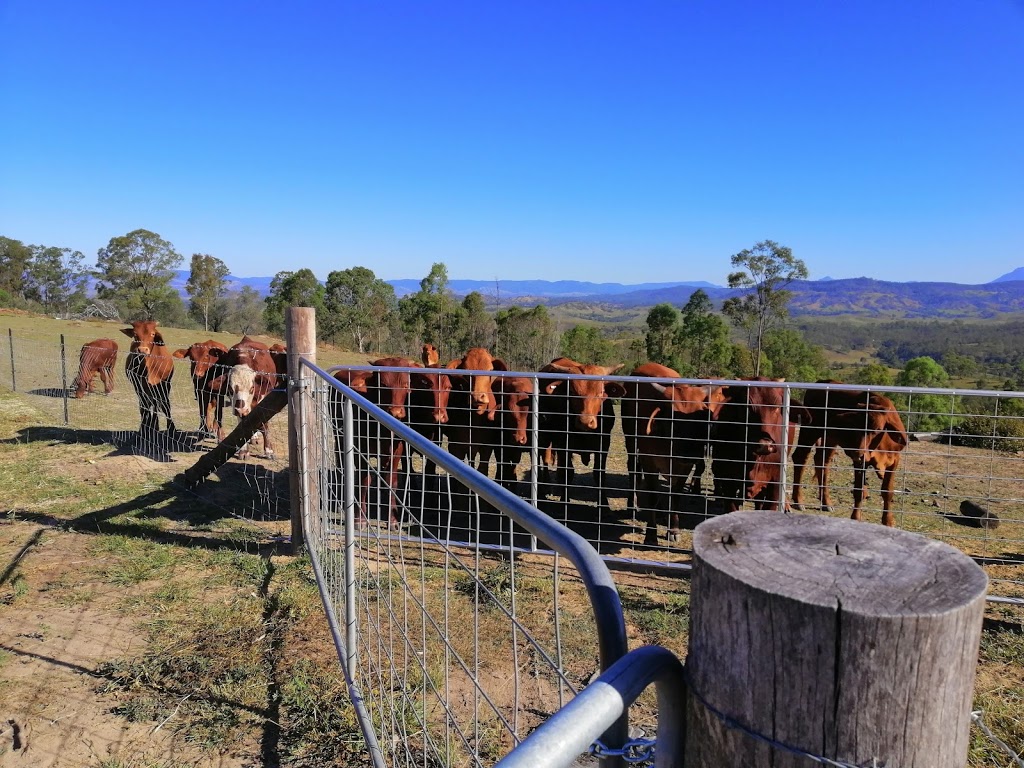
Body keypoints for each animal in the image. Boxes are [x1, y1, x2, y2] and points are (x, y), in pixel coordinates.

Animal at [536, 358, 622, 514]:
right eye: (572, 392)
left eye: (601, 392)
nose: (585, 421)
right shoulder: (563, 444)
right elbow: (566, 473)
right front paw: (564, 502)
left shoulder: (604, 443)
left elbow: (599, 475)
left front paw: (604, 506)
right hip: (544, 437)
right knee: (543, 460)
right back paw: (543, 488)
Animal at [618, 364, 724, 544]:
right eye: (673, 418)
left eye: (700, 417)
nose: (688, 454)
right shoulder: (650, 463)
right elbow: (653, 495)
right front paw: (651, 534)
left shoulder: (684, 468)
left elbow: (675, 495)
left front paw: (673, 528)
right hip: (631, 441)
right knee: (633, 469)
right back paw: (633, 503)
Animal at [786, 382, 909, 528]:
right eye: (856, 427)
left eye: (878, 429)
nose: (857, 452)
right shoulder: (860, 462)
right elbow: (859, 490)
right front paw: (855, 517)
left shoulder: (894, 461)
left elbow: (887, 491)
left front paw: (888, 521)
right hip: (810, 431)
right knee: (800, 456)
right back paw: (799, 500)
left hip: (830, 439)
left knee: (822, 461)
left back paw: (826, 502)